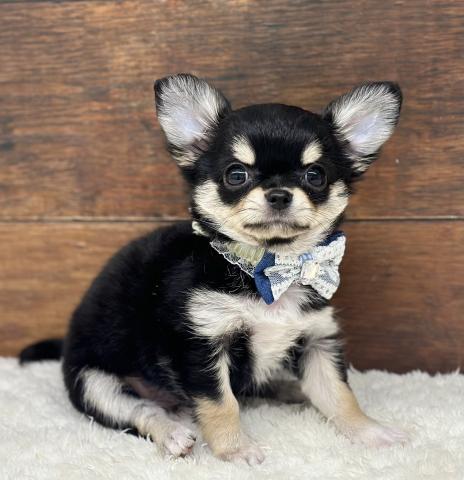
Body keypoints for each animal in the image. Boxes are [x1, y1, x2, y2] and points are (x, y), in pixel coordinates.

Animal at [20, 74, 407, 465]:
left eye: (316, 175)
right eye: (236, 175)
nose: (279, 194)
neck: (265, 268)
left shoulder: (316, 340)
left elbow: (339, 396)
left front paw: (370, 431)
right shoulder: (202, 345)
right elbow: (222, 404)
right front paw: (236, 450)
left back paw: (288, 389)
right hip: (94, 383)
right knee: (142, 411)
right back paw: (174, 434)